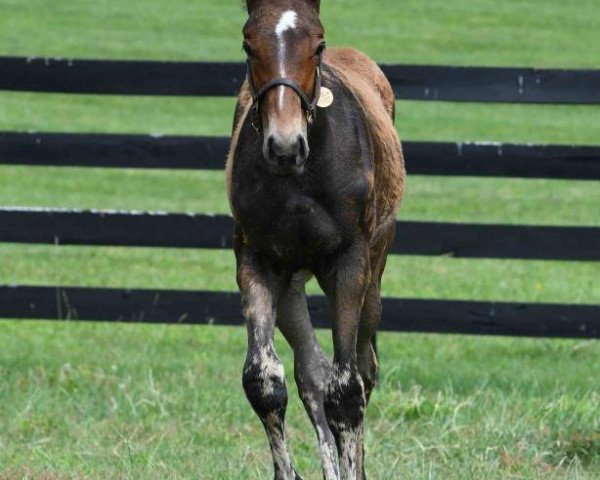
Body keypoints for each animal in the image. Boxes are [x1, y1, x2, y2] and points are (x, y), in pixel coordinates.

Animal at [227, 1, 406, 478]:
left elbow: (347, 392)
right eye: (248, 45)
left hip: (374, 275)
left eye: (318, 44)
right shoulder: (256, 259)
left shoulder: (349, 263)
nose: (285, 147)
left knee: (363, 370)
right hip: (291, 284)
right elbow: (265, 381)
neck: (299, 180)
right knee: (312, 371)